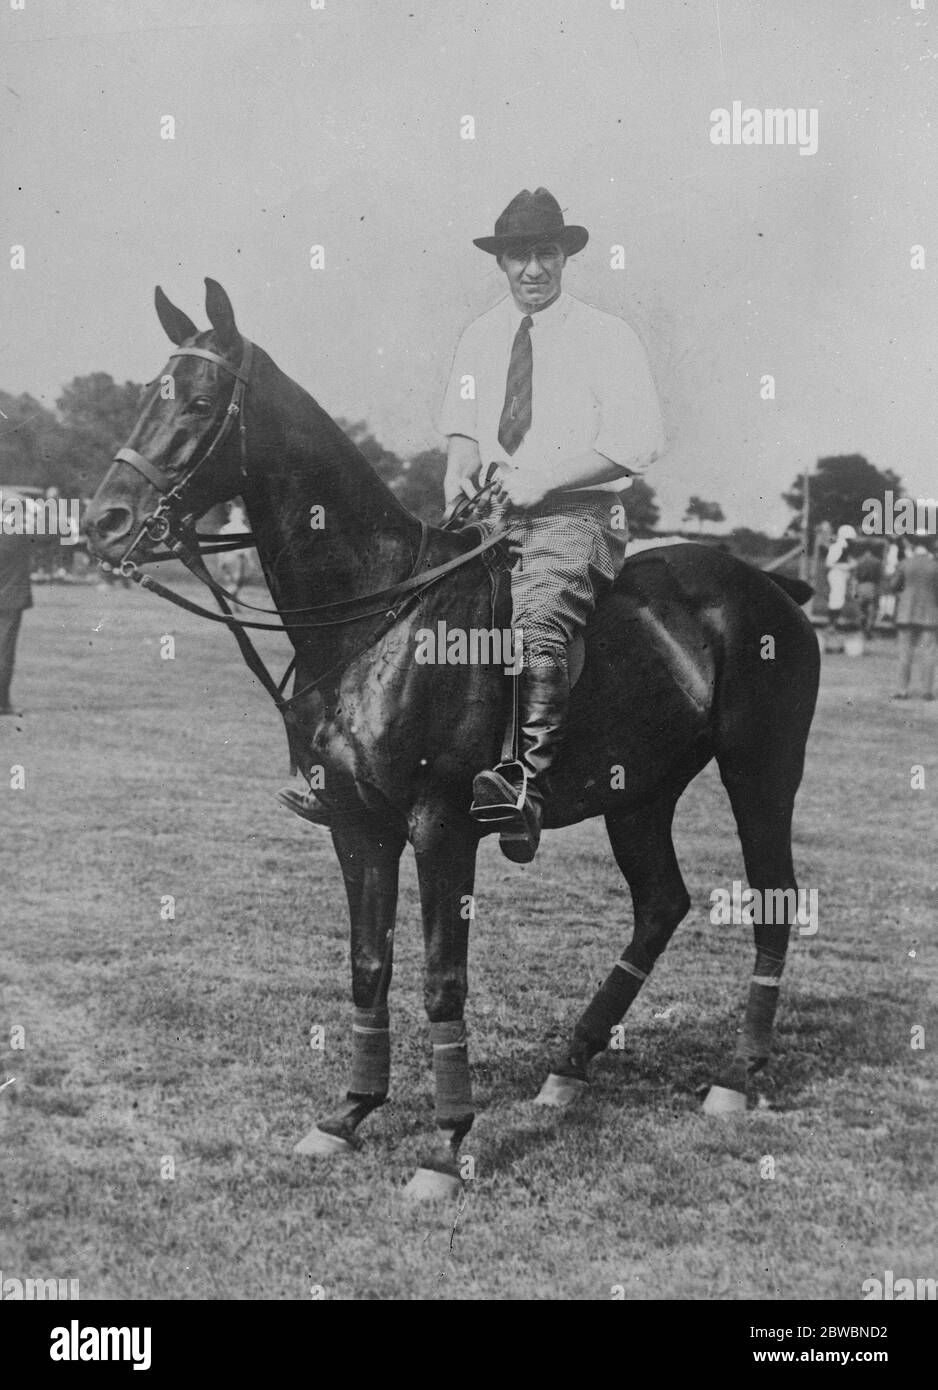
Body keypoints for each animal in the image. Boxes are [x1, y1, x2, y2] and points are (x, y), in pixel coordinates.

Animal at [88, 279, 822, 1195]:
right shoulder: (354, 824)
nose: (104, 521)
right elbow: (369, 967)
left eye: (196, 401)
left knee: (774, 898)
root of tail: (777, 586)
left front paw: (445, 1144)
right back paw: (570, 1066)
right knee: (661, 904)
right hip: (639, 790)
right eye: (145, 396)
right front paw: (348, 1114)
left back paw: (738, 1075)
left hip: (763, 767)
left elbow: (442, 979)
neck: (376, 614)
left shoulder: (441, 827)